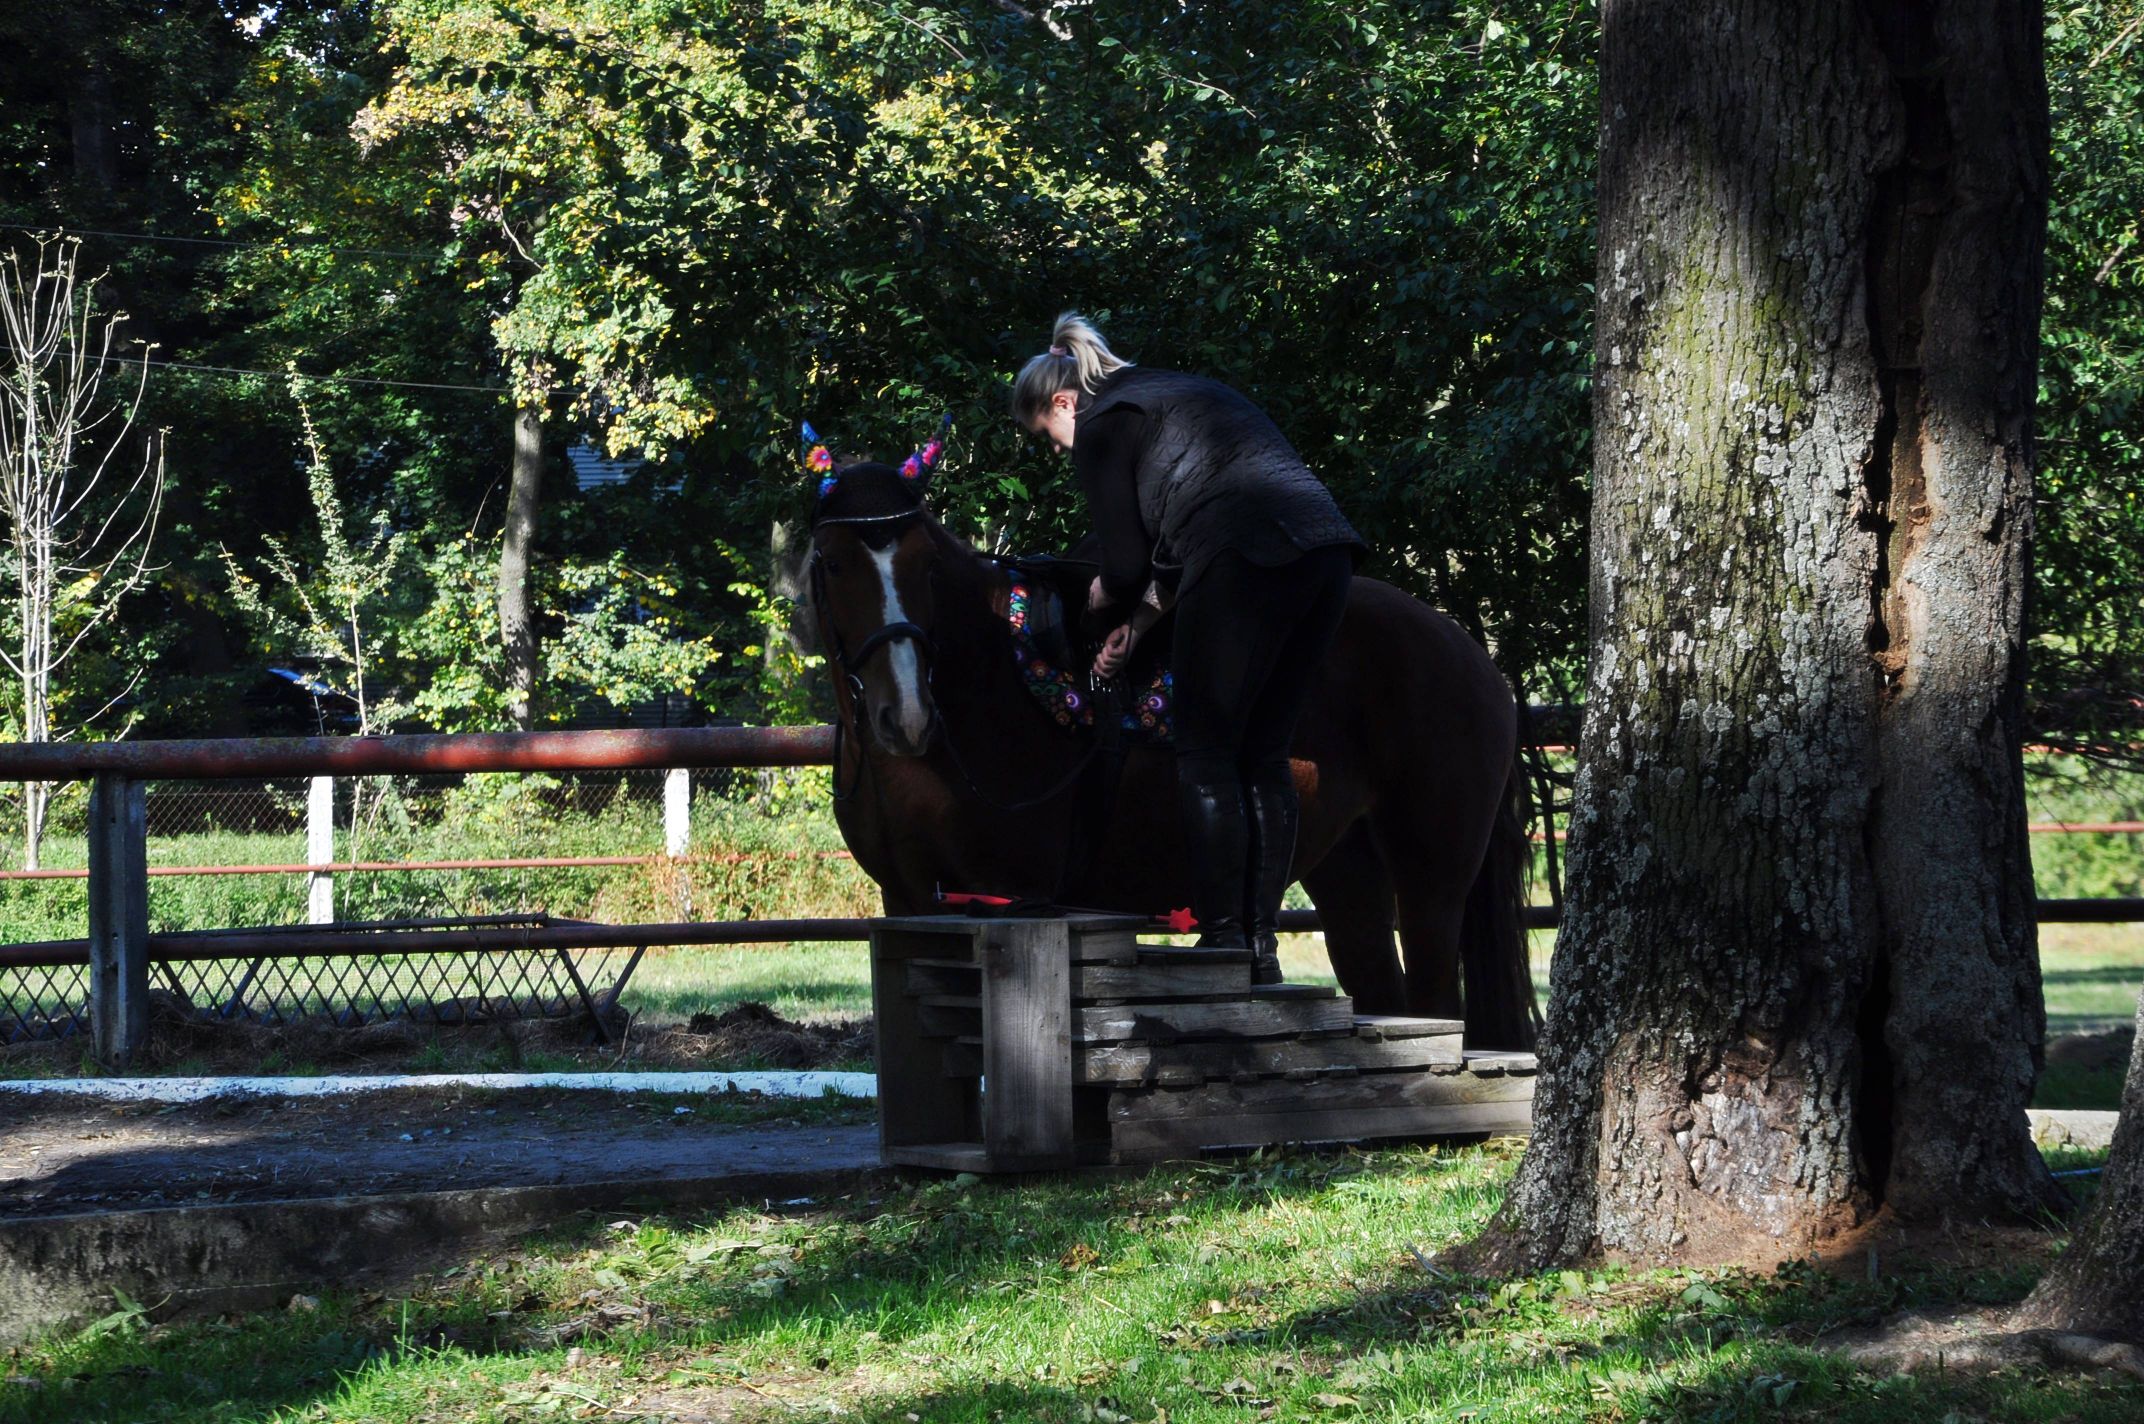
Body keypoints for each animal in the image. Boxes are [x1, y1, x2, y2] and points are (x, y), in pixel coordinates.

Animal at [806, 456, 1543, 1046]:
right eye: (836, 564)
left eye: (925, 567)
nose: (905, 713)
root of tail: (1472, 656)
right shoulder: (908, 902)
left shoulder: (1015, 900)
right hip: (1349, 874)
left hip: (1431, 879)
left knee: (1437, 998)